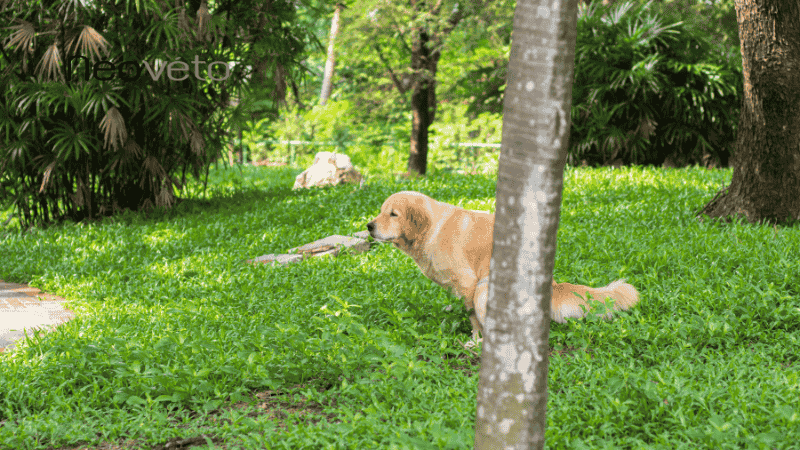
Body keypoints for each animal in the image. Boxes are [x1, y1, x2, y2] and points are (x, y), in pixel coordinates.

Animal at [368, 189, 636, 342]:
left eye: (393, 214)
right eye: (381, 211)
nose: (369, 226)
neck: (431, 229)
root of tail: (553, 285)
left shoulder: (469, 283)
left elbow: (473, 318)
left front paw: (475, 340)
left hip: (485, 289)